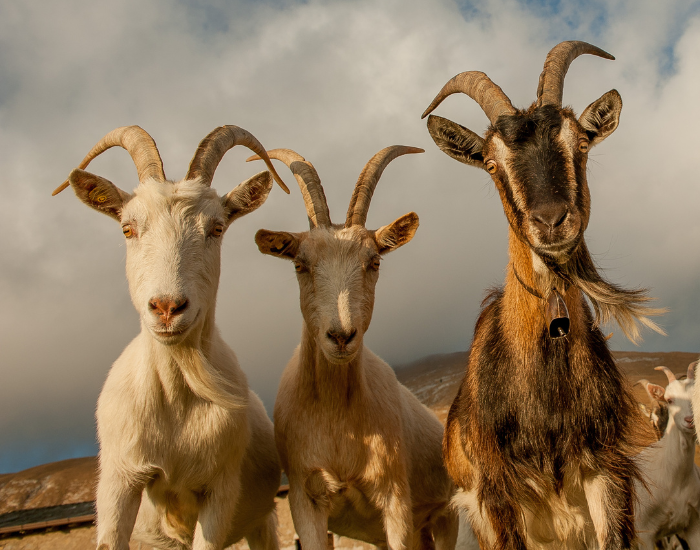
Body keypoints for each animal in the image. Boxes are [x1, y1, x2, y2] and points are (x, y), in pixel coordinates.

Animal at [52, 125, 289, 550]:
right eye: (127, 228)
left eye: (217, 228)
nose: (166, 307)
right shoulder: (119, 479)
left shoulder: (220, 489)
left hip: (262, 520)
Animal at [252, 147, 459, 550]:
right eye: (300, 264)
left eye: (374, 261)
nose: (341, 336)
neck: (338, 424)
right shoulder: (304, 500)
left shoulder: (395, 500)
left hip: (445, 517)